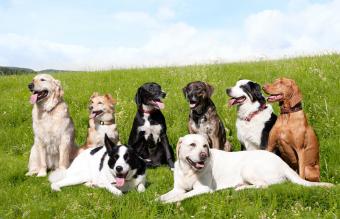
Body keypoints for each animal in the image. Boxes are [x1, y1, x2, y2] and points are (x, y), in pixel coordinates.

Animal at [158, 133, 334, 204]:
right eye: (192, 145)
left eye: (205, 146)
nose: (203, 155)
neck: (188, 170)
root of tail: (281, 162)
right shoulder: (178, 188)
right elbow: (164, 195)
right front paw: (157, 200)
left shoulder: (203, 189)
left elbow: (182, 196)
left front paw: (170, 202)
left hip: (248, 168)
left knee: (264, 185)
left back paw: (240, 189)